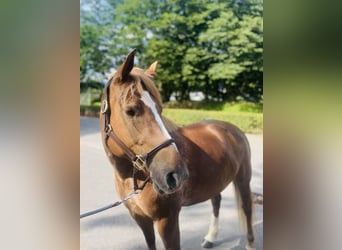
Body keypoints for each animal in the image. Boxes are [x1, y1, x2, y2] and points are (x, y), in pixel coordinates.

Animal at [99, 49, 254, 250]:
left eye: (160, 109)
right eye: (130, 110)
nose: (176, 175)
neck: (132, 177)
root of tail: (235, 129)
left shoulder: (167, 220)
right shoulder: (141, 219)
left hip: (243, 180)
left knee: (247, 209)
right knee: (216, 202)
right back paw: (210, 237)